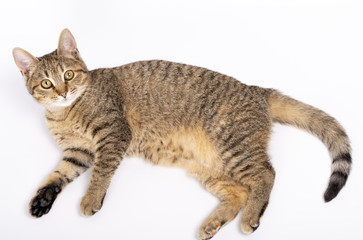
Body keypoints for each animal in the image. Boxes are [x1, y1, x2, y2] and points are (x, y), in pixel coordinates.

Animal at [12, 29, 352, 239]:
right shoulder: (77, 152)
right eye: (46, 83)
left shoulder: (112, 135)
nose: (63, 92)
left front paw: (92, 198)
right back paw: (214, 223)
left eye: (69, 75)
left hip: (234, 147)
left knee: (266, 175)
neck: (65, 114)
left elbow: (100, 173)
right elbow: (58, 175)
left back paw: (250, 217)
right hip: (210, 167)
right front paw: (42, 199)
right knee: (240, 191)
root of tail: (256, 90)